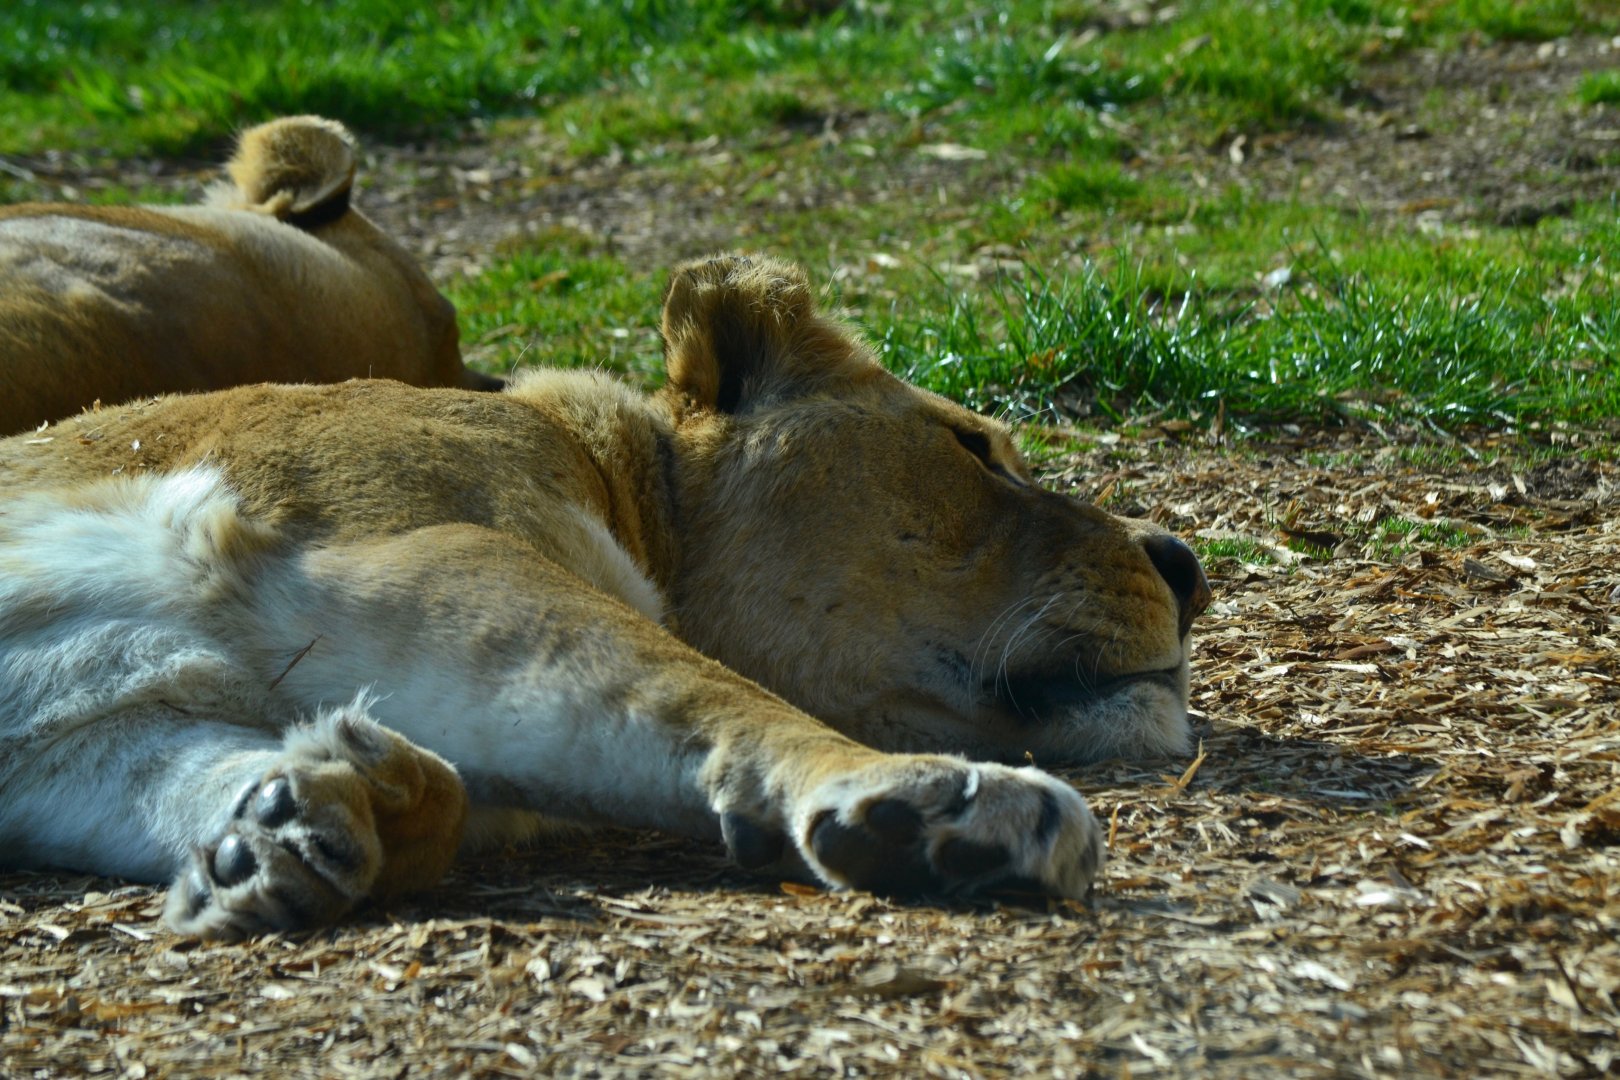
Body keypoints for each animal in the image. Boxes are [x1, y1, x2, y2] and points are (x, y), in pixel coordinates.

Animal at [0, 254, 1209, 940]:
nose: (1188, 566)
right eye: (972, 448)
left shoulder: (82, 737)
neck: (619, 483)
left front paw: (291, 828)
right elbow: (715, 693)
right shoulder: (415, 547)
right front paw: (928, 800)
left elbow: (202, 778)